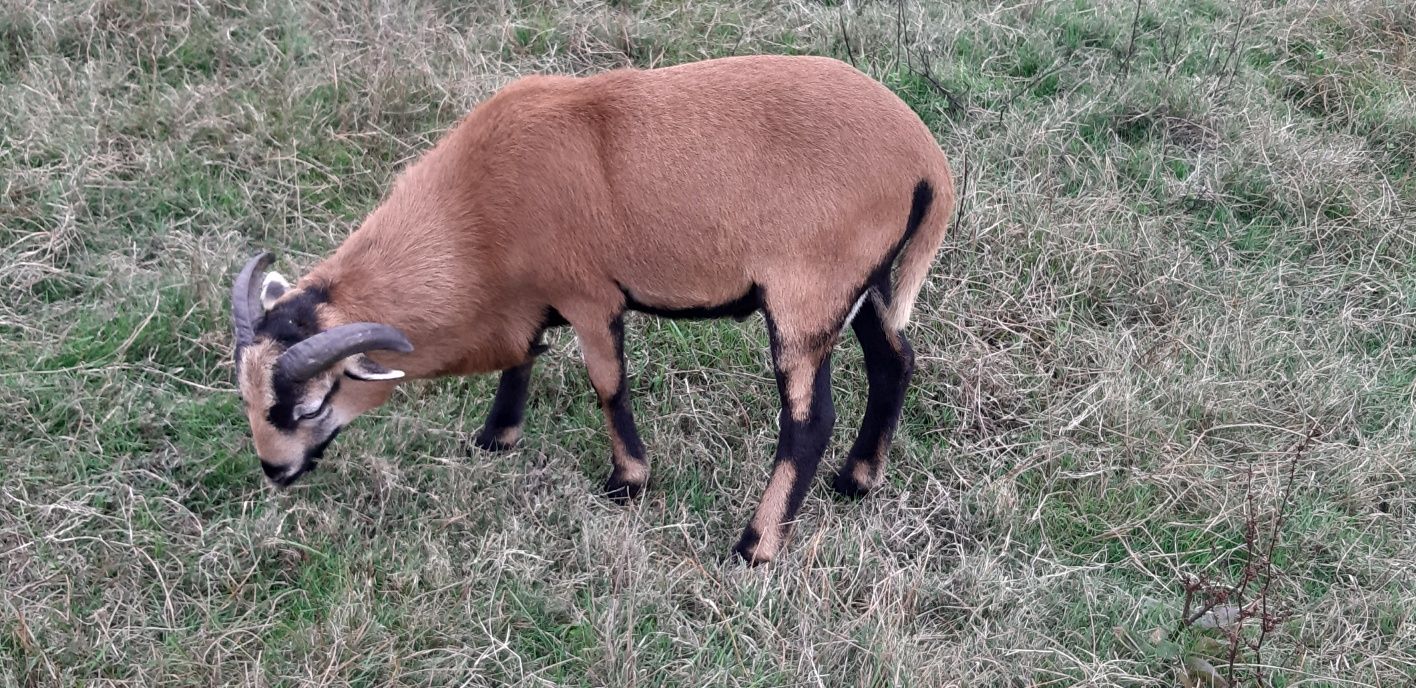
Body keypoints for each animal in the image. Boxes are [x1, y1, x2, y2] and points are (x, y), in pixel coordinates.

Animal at [232, 55, 957, 563]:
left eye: (311, 406)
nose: (274, 471)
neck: (474, 221)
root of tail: (927, 163)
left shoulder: (589, 295)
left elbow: (606, 384)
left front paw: (627, 481)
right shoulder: (532, 300)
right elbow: (523, 358)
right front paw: (497, 438)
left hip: (807, 295)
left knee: (809, 420)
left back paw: (754, 546)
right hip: (865, 286)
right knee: (895, 361)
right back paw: (856, 481)